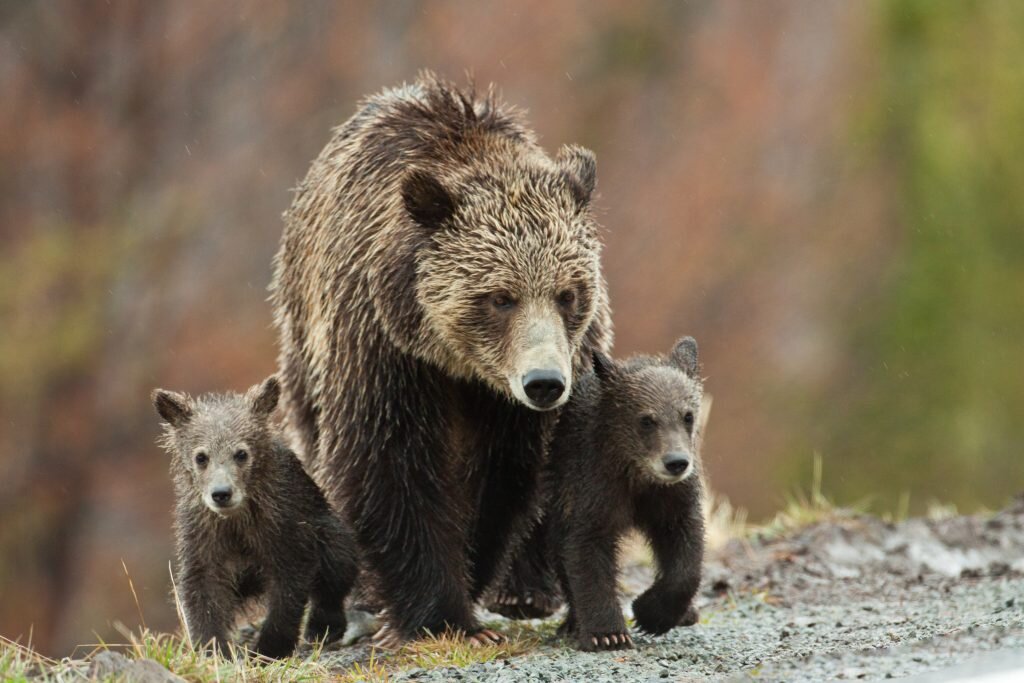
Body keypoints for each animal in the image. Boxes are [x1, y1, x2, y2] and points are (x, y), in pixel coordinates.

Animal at [152, 376, 359, 658]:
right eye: (201, 457)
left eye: (241, 453)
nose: (221, 493)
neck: (236, 521)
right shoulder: (202, 533)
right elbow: (201, 587)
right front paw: (213, 649)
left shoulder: (283, 525)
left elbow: (289, 585)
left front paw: (268, 649)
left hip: (325, 524)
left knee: (338, 563)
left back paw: (323, 626)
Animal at [269, 72, 612, 646]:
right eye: (500, 297)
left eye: (567, 293)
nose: (544, 382)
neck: (458, 365)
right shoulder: (382, 350)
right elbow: (389, 468)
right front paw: (443, 617)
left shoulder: (519, 401)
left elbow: (504, 478)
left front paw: (473, 583)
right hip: (302, 347)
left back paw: (529, 591)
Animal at [545, 337, 705, 651]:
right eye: (646, 420)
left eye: (687, 415)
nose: (676, 462)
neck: (639, 476)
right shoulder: (593, 491)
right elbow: (586, 551)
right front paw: (608, 634)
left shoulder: (673, 499)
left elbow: (687, 553)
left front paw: (651, 614)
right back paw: (573, 622)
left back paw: (687, 613)